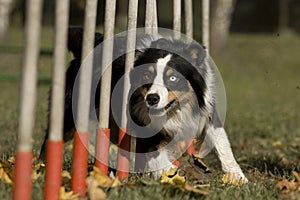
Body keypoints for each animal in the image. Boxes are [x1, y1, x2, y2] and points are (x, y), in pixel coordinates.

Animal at [42, 27, 248, 183]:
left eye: (173, 78)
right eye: (147, 75)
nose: (152, 98)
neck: (175, 111)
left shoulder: (206, 111)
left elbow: (222, 143)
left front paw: (238, 177)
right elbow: (159, 157)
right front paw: (174, 177)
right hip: (72, 109)